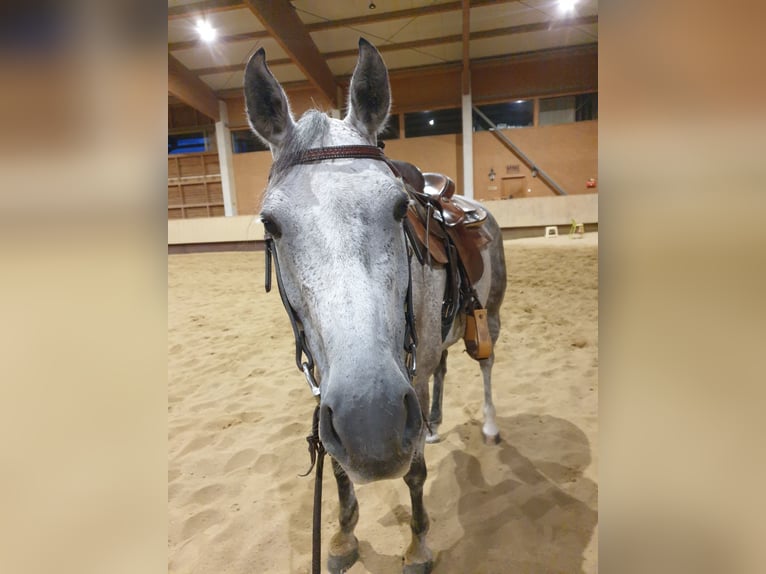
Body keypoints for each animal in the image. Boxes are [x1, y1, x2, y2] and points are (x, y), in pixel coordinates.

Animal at [246, 38, 507, 574]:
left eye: (397, 206)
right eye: (270, 224)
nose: (372, 423)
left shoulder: (408, 378)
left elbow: (414, 473)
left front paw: (418, 547)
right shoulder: (331, 387)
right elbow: (339, 469)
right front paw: (343, 538)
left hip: (487, 316)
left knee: (486, 365)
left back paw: (489, 425)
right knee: (443, 369)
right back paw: (434, 426)